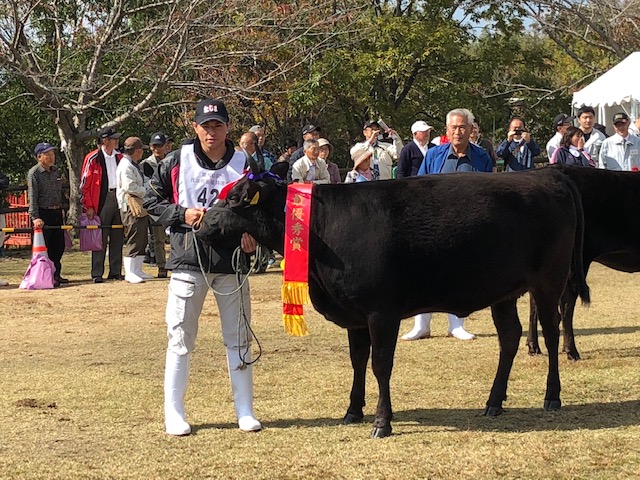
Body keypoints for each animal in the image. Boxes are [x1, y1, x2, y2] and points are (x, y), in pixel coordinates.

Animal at [196, 165, 592, 438]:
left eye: (233, 199)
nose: (199, 224)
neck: (323, 228)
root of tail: (546, 174)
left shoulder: (380, 312)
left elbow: (380, 365)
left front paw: (382, 422)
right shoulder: (355, 315)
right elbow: (357, 361)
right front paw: (353, 410)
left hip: (548, 282)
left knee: (551, 333)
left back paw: (552, 396)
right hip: (504, 292)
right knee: (509, 338)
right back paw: (494, 402)